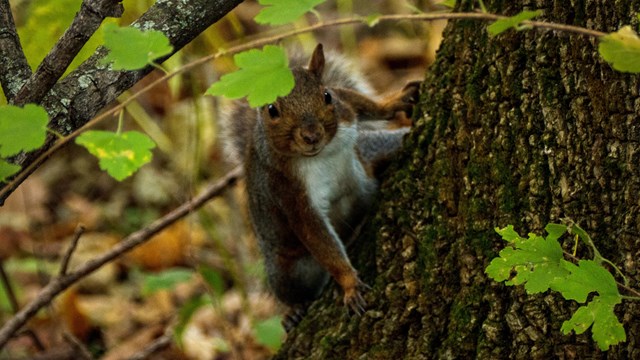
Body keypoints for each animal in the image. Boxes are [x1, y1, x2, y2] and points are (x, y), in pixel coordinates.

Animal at [220, 43, 420, 330]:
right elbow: (319, 239)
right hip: (287, 269)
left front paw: (394, 101)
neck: (321, 153)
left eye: (326, 96)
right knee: (288, 289)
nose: (311, 135)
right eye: (272, 110)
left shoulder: (345, 106)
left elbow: (362, 103)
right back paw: (292, 311)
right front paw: (349, 284)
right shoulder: (288, 192)